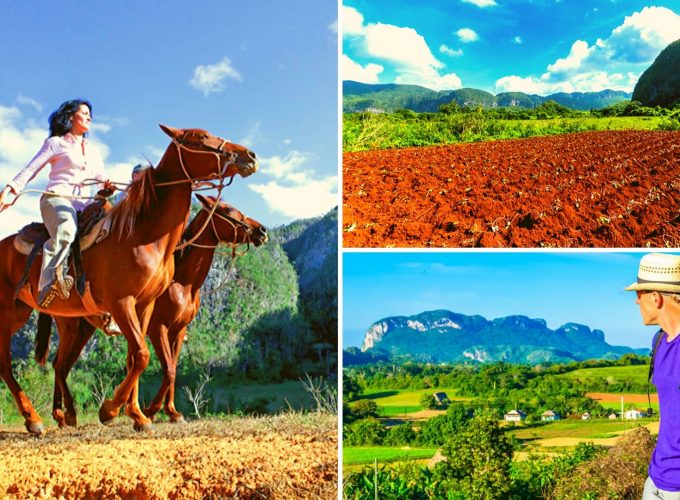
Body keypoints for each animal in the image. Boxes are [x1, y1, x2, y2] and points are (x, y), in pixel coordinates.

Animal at [0, 125, 258, 434]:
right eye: (201, 137)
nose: (250, 155)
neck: (144, 236)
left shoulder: (150, 311)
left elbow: (141, 359)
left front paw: (141, 414)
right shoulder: (130, 309)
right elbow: (151, 360)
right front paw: (115, 410)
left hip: (66, 325)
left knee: (59, 365)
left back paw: (65, 415)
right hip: (10, 315)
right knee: (10, 364)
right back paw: (34, 418)